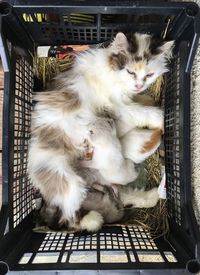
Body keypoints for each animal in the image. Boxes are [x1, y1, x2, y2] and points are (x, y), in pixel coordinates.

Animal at [28, 31, 173, 231]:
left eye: (149, 74)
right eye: (130, 72)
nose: (138, 85)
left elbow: (141, 102)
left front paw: (147, 99)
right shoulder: (118, 106)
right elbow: (142, 112)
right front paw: (160, 118)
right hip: (61, 175)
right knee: (68, 214)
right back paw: (92, 220)